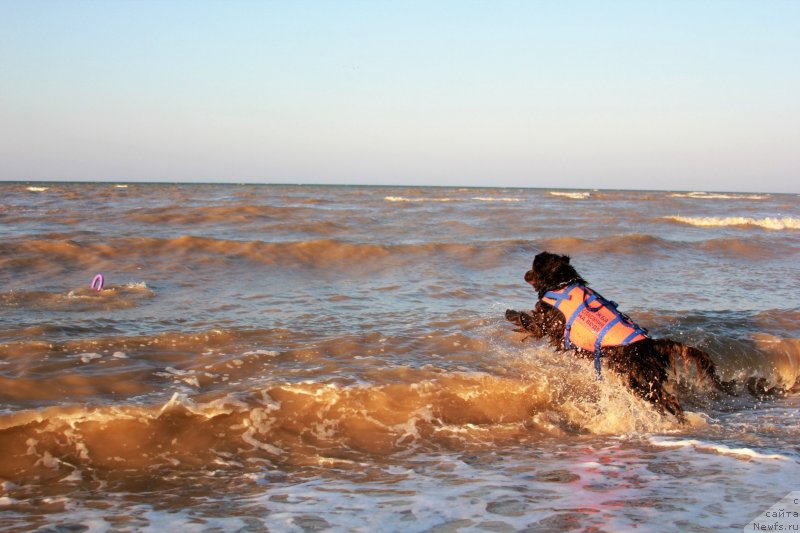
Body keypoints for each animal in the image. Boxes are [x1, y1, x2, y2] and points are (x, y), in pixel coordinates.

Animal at [506, 251, 732, 422]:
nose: (525, 273)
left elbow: (531, 322)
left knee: (666, 400)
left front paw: (510, 313)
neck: (562, 283)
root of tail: (651, 346)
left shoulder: (550, 322)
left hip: (638, 379)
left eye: (534, 267)